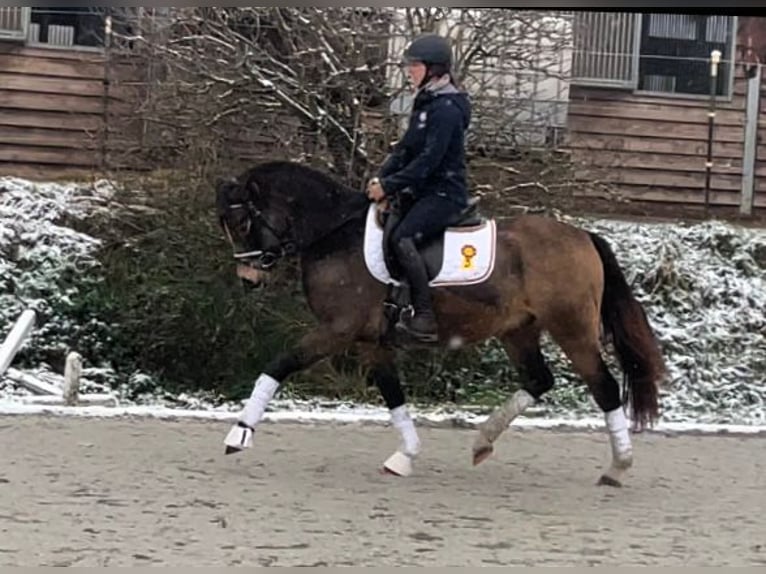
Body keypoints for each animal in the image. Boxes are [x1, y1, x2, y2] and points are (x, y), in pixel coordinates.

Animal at [214, 160, 664, 488]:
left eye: (242, 223)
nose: (247, 279)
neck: (335, 234)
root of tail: (582, 235)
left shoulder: (337, 329)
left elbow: (279, 366)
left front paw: (239, 434)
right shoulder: (371, 341)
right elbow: (393, 393)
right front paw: (405, 456)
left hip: (572, 328)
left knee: (604, 387)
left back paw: (617, 467)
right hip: (518, 330)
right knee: (539, 380)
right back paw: (482, 443)